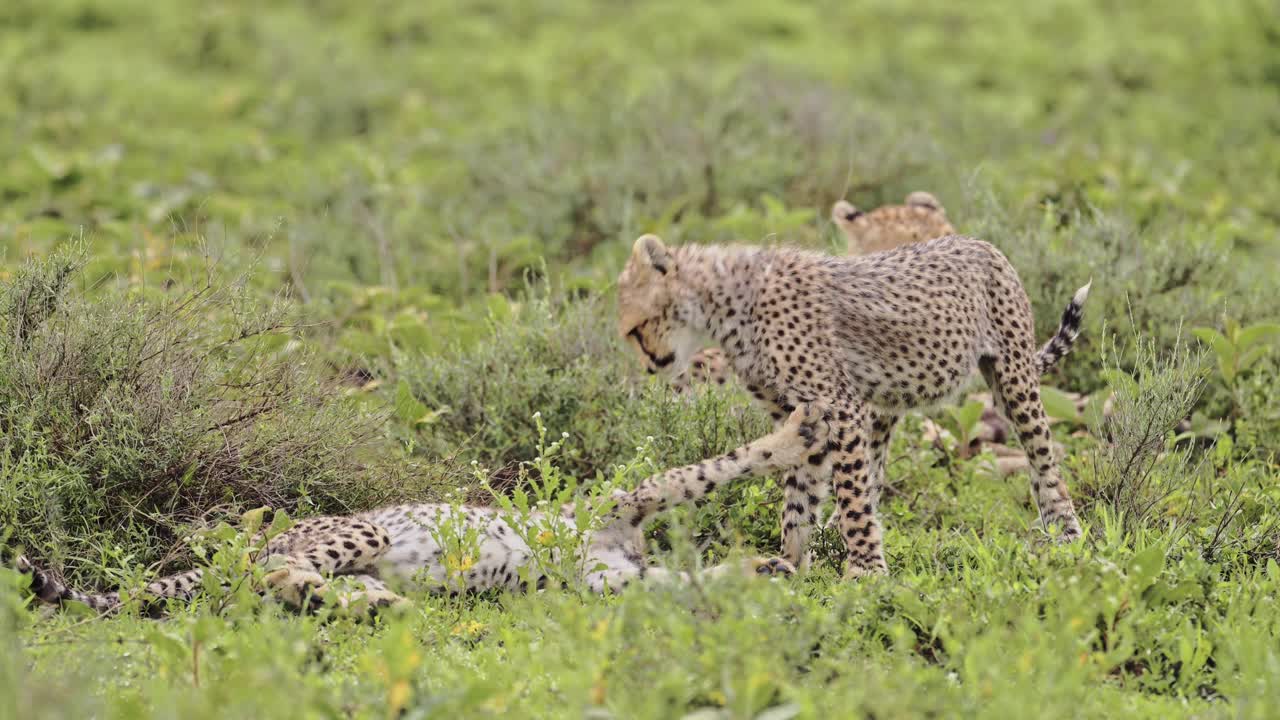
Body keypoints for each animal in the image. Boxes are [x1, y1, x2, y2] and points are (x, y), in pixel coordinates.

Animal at [16, 403, 831, 617]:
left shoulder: (610, 576)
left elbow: (684, 579)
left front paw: (765, 569)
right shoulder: (618, 503)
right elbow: (706, 471)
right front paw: (795, 433)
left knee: (295, 587)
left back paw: (377, 603)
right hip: (362, 529)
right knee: (276, 577)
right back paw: (375, 603)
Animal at [617, 231, 1090, 578]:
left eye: (636, 328)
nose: (649, 365)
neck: (725, 303)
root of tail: (980, 242)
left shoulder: (838, 406)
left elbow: (849, 495)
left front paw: (864, 570)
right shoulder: (803, 415)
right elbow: (800, 494)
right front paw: (792, 559)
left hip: (1013, 378)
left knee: (1044, 459)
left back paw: (1066, 533)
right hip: (887, 399)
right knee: (875, 471)